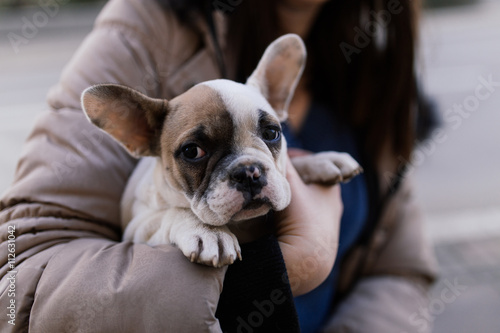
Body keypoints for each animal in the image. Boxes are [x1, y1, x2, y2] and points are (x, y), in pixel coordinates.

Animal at [83, 33, 364, 268]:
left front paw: (325, 161)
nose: (249, 172)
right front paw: (209, 233)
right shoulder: (137, 229)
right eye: (192, 152)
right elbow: (173, 213)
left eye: (272, 133)